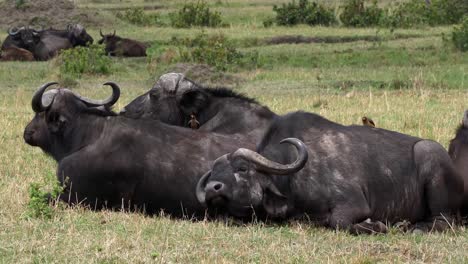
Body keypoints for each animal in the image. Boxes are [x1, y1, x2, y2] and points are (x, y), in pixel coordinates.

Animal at [196, 111, 462, 233]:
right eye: (215, 171)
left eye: (242, 169)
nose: (212, 189)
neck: (292, 178)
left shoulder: (353, 204)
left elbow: (338, 221)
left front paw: (375, 225)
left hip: (429, 156)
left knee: (443, 220)